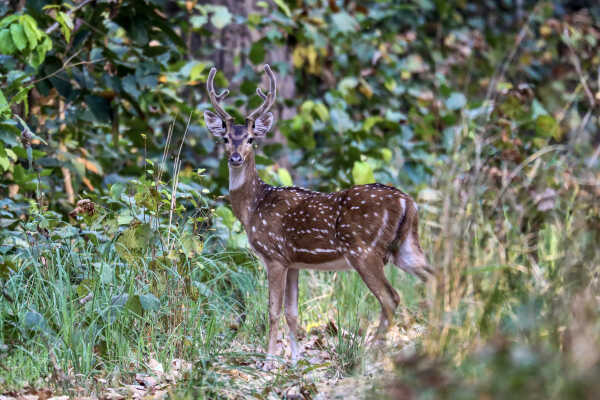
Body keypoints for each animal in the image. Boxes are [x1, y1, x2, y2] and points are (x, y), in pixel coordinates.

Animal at [204, 63, 434, 366]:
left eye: (251, 139)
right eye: (226, 138)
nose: (235, 158)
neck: (254, 207)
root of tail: (407, 201)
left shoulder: (274, 255)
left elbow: (273, 311)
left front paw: (269, 361)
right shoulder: (293, 261)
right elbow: (292, 312)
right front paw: (294, 360)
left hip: (364, 250)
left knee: (391, 297)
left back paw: (372, 353)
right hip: (406, 246)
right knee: (435, 278)